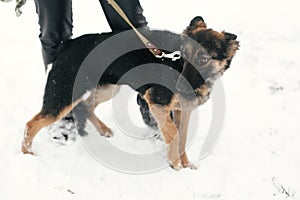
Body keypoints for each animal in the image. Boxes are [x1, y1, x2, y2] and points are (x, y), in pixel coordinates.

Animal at [21, 16, 239, 170]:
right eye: (183, 56)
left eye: (203, 59)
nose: (180, 87)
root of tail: (69, 44)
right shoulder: (156, 101)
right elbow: (173, 134)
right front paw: (175, 165)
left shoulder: (183, 111)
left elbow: (182, 138)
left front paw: (185, 164)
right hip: (63, 97)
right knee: (31, 124)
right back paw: (27, 154)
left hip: (108, 89)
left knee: (86, 106)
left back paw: (104, 130)